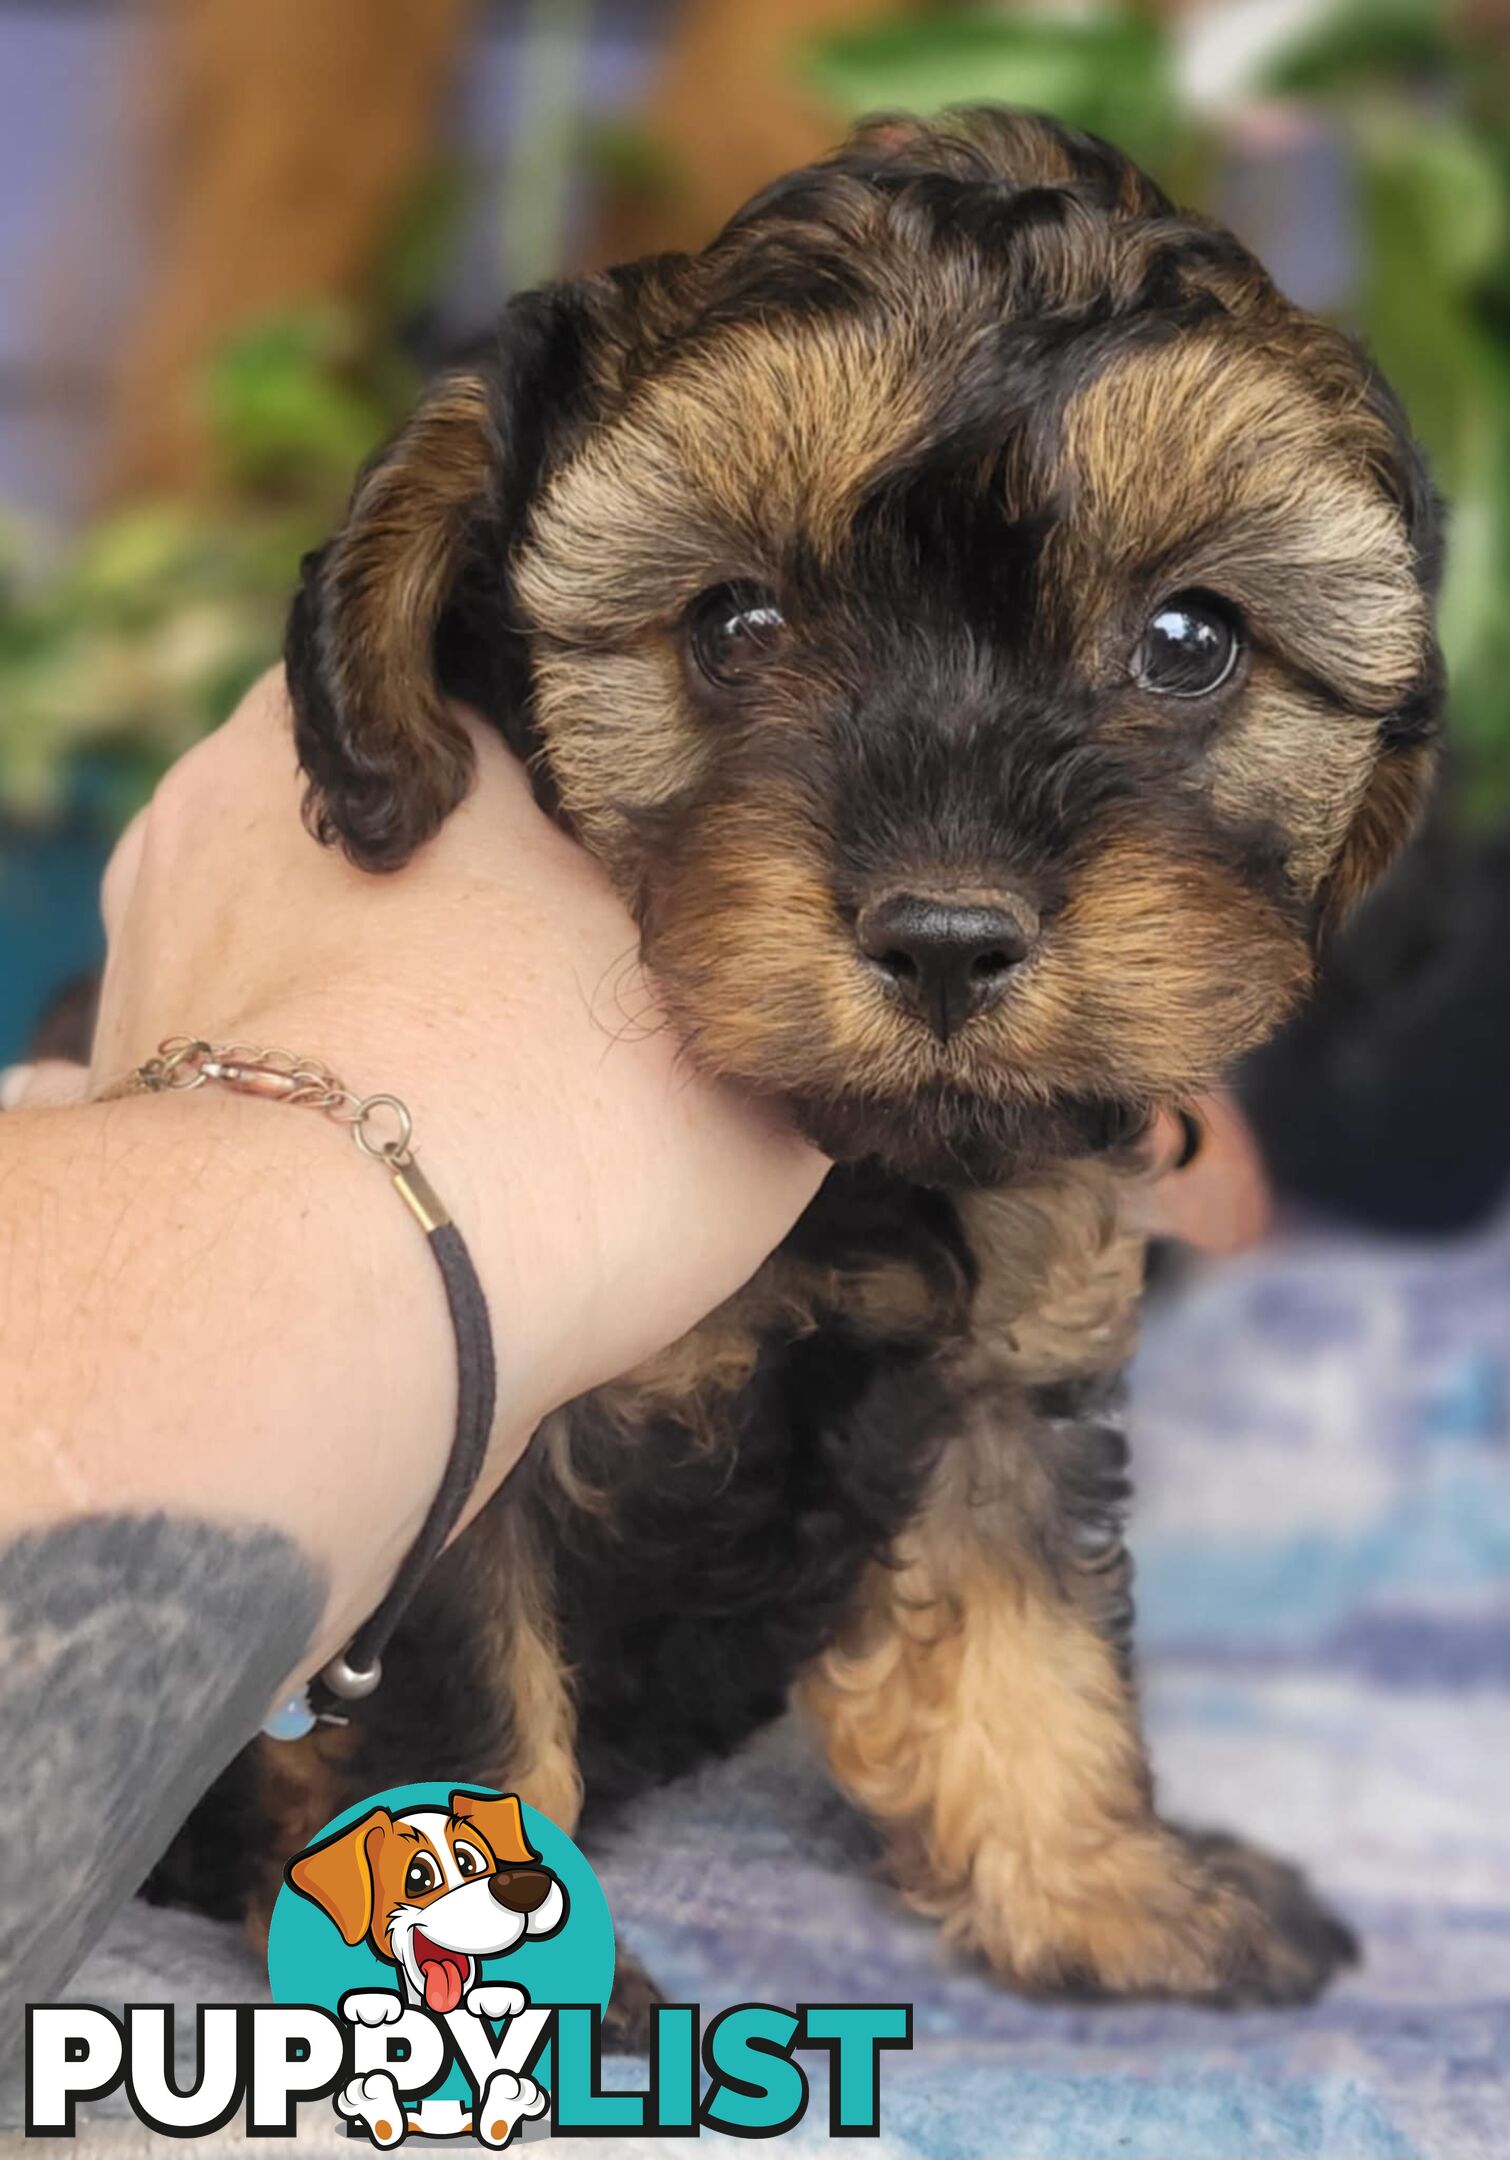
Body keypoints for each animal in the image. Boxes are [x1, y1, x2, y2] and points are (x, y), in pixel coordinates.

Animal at [162, 113, 1443, 2004]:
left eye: (1189, 641)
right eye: (733, 625)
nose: (947, 936)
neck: (859, 1162)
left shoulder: (1015, 1346)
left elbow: (1025, 1618)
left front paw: (1103, 1885)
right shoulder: (481, 1447)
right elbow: (465, 1699)